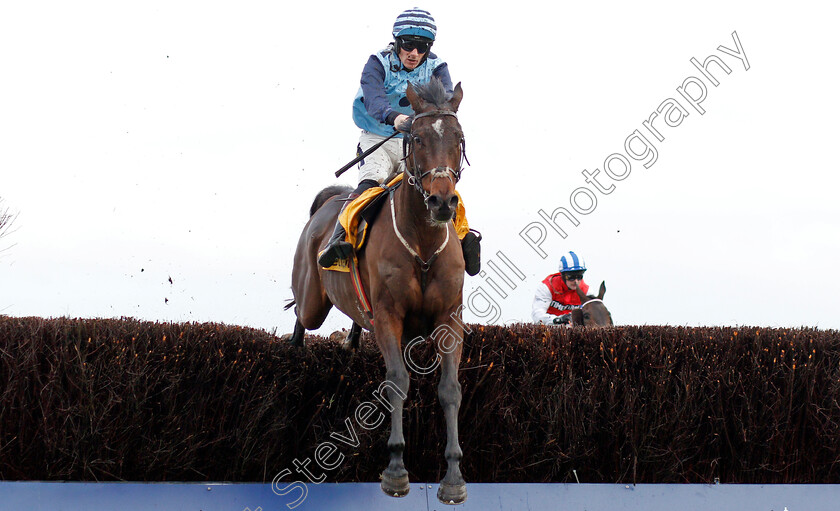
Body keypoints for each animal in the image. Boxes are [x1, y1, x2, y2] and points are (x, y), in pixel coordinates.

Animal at [288, 79, 470, 504]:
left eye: (459, 138)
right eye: (417, 137)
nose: (442, 201)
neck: (422, 243)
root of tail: (329, 202)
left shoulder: (449, 319)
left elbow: (450, 389)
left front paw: (453, 475)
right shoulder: (389, 316)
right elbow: (398, 383)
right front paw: (396, 470)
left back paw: (350, 340)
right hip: (311, 300)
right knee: (300, 316)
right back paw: (295, 351)